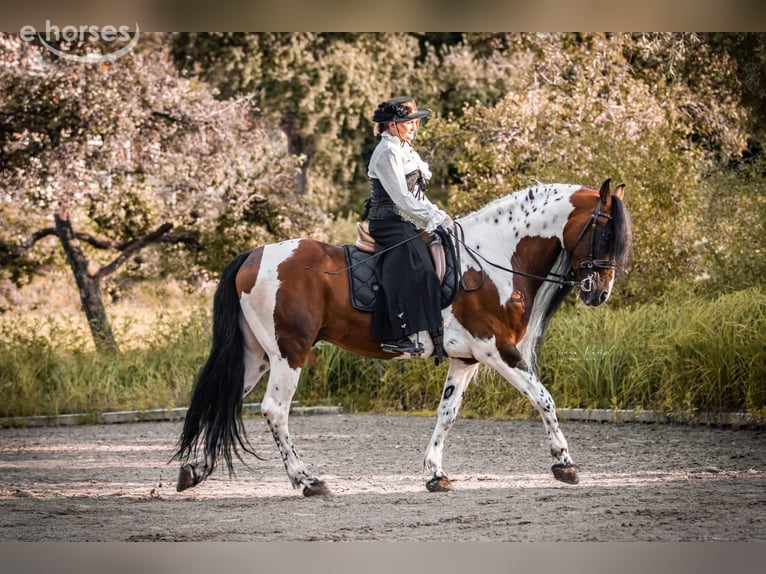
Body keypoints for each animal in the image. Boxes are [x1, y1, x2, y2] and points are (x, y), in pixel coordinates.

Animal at [171, 178, 633, 496]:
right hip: (290, 353)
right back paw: (306, 481)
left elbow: (447, 413)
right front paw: (564, 464)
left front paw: (435, 474)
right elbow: (543, 398)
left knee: (227, 399)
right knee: (274, 410)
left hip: (258, 355)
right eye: (605, 232)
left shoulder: (466, 359)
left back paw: (195, 470)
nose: (599, 292)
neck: (495, 258)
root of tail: (256, 254)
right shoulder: (497, 351)